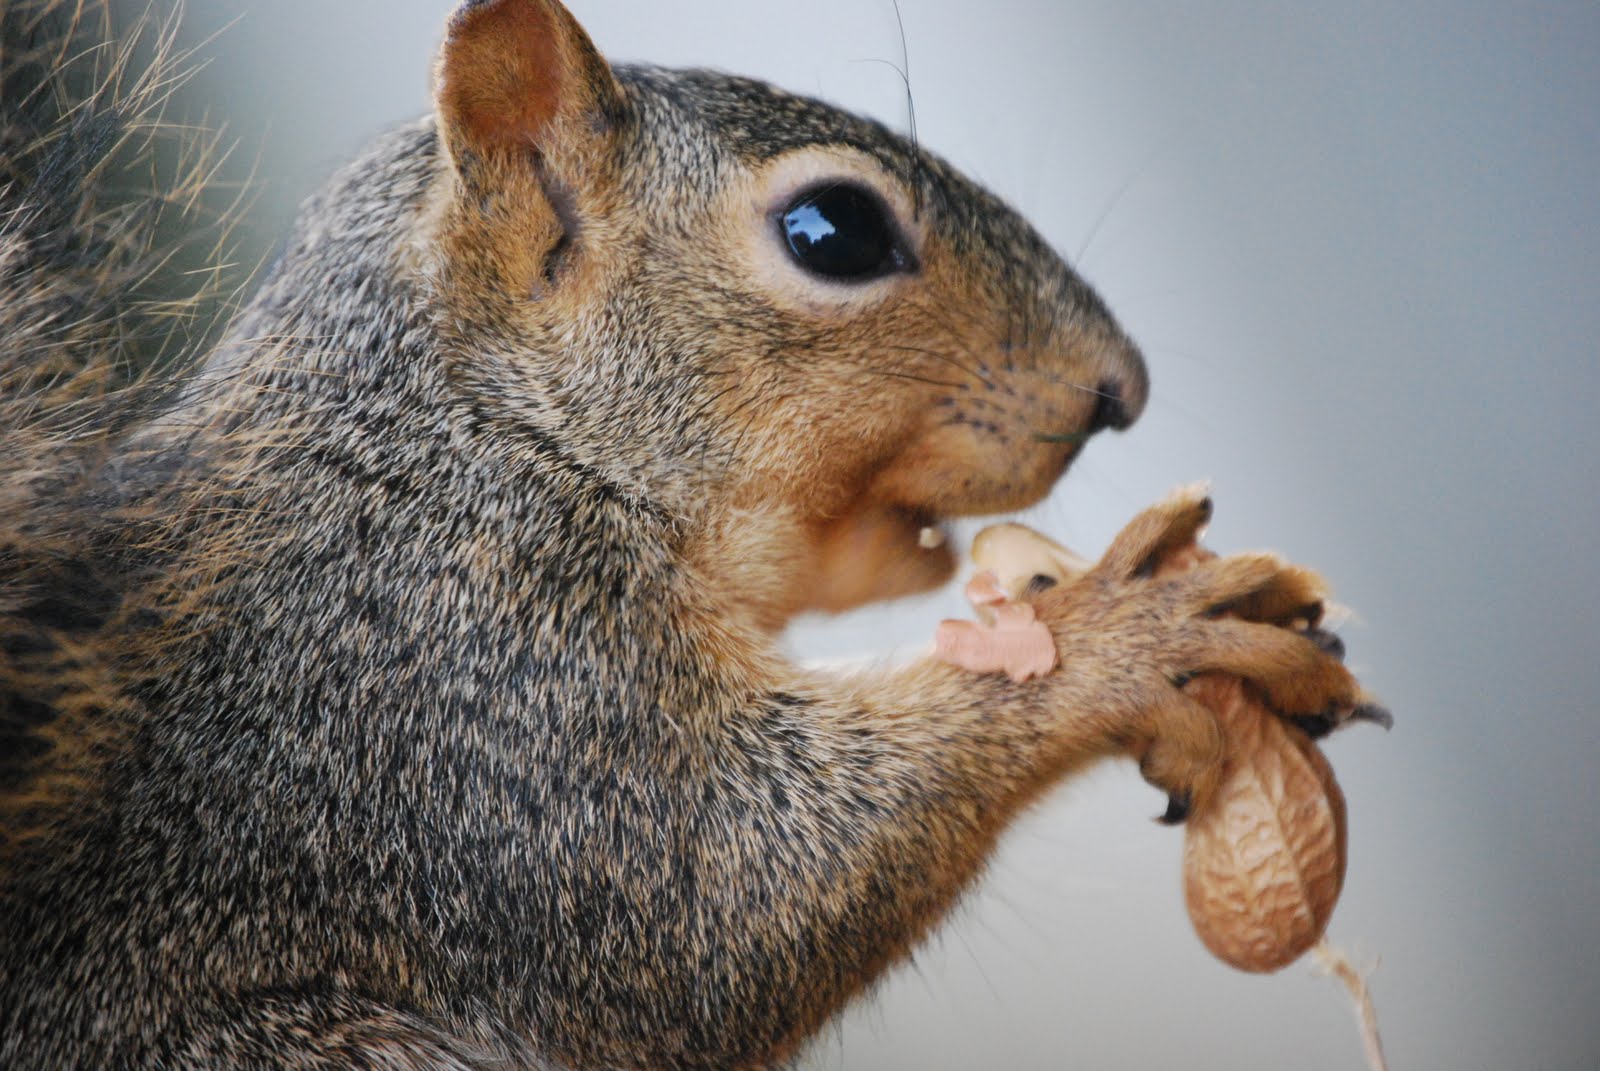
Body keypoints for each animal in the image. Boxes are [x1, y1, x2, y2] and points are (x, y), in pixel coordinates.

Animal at [0, 0, 1369, 1067]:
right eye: (836, 231)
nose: (1119, 389)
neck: (484, 443)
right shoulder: (465, 697)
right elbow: (715, 898)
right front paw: (1130, 635)